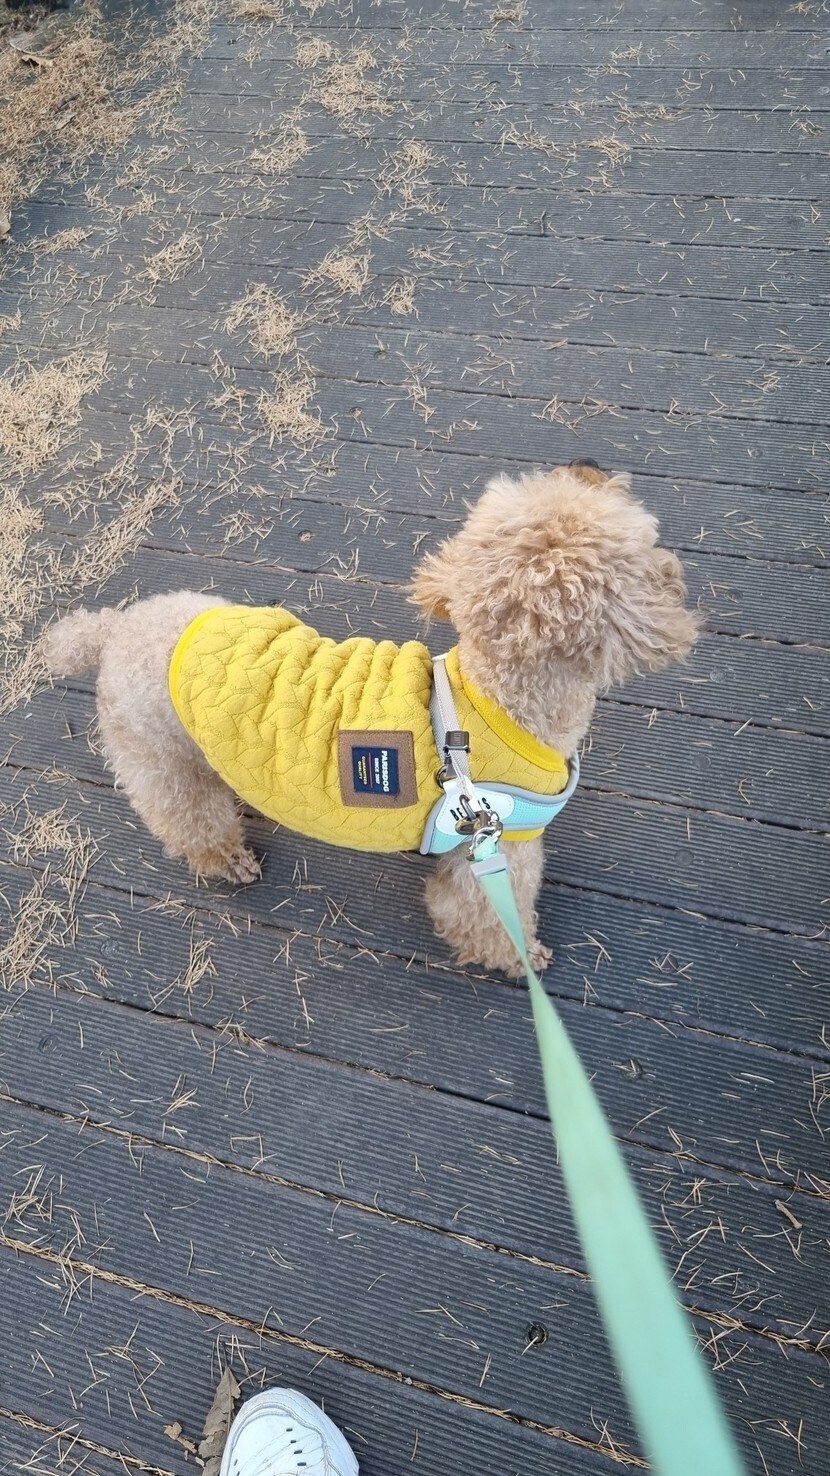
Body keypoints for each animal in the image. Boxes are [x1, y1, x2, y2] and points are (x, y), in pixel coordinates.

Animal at [41, 462, 699, 977]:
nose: (587, 461)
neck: (498, 701)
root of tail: (112, 632)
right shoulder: (494, 851)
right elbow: (487, 919)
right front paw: (524, 958)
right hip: (162, 763)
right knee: (190, 824)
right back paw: (228, 861)